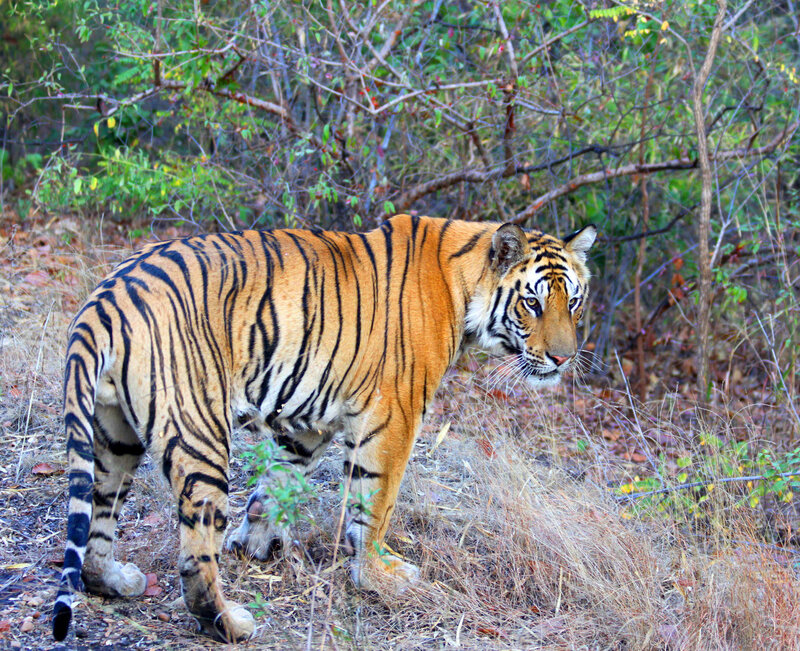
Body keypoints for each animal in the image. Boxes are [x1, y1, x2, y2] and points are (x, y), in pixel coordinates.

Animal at [51, 213, 595, 642]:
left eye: (573, 302)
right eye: (532, 303)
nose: (563, 358)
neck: (464, 289)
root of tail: (105, 299)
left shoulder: (309, 422)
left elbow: (275, 484)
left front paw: (256, 545)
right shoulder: (392, 417)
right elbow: (375, 503)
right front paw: (379, 576)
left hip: (112, 433)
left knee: (96, 520)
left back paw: (114, 581)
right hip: (199, 431)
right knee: (196, 556)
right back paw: (230, 623)